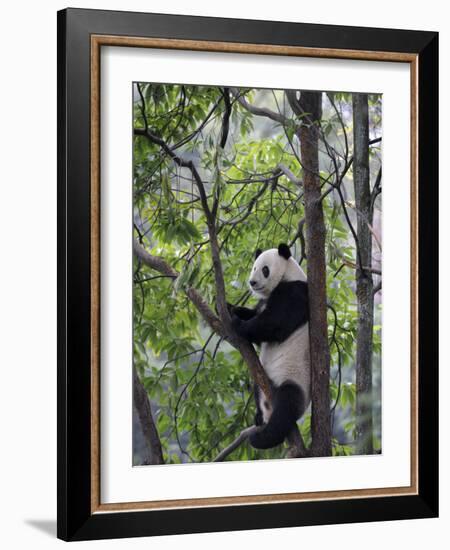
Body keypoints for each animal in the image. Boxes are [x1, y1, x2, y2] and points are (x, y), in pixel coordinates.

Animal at [229, 244, 310, 450]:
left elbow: (273, 324)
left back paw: (263, 439)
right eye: (253, 267)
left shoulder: (294, 294)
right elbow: (254, 313)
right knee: (256, 386)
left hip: (295, 380)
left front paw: (238, 324)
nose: (252, 282)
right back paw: (258, 417)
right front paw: (229, 308)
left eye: (265, 269)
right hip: (262, 379)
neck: (288, 275)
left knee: (286, 407)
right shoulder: (263, 302)